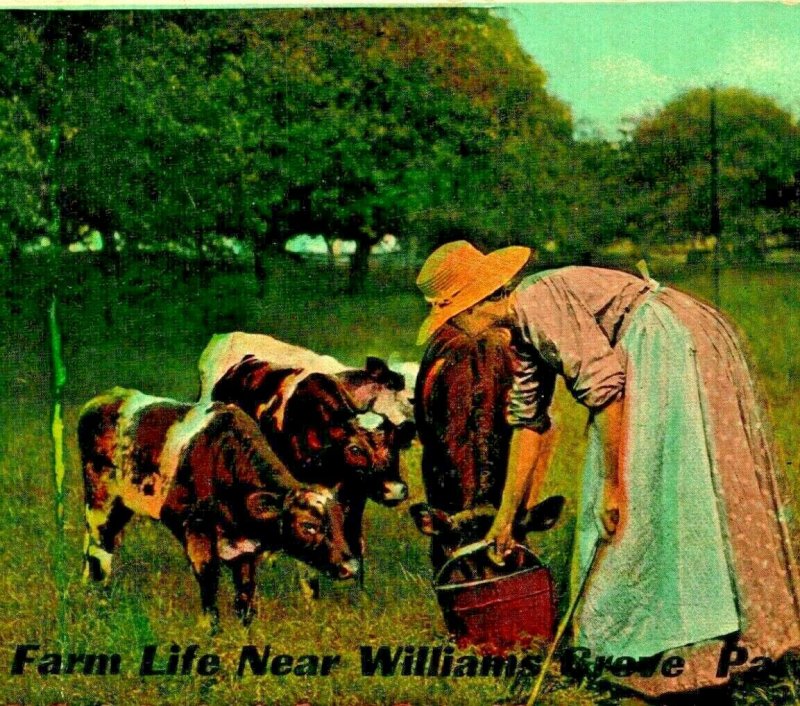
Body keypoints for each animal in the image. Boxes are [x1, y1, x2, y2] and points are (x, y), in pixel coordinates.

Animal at [79, 384, 360, 628]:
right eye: (308, 526)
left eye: (341, 521)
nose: (351, 567)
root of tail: (107, 398)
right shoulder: (196, 530)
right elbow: (209, 580)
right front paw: (211, 629)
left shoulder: (246, 551)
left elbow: (245, 595)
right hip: (101, 503)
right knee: (100, 551)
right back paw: (99, 602)